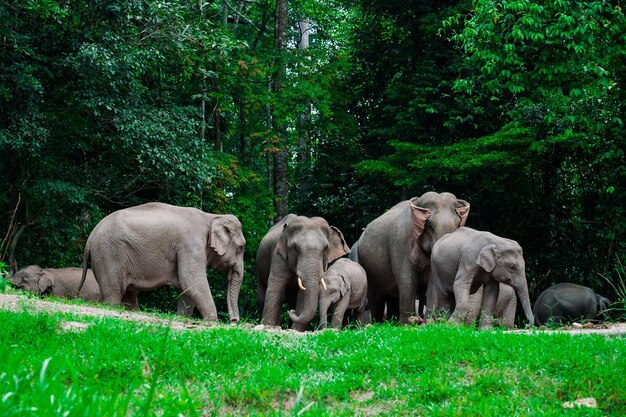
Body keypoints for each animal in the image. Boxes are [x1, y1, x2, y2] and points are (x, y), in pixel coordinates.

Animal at [82, 202, 246, 322]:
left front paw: (182, 317)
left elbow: (185, 287)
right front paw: (212, 321)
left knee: (128, 294)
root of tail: (91, 237)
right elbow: (191, 281)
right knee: (114, 294)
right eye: (242, 247)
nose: (234, 321)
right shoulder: (190, 246)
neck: (211, 216)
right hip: (109, 255)